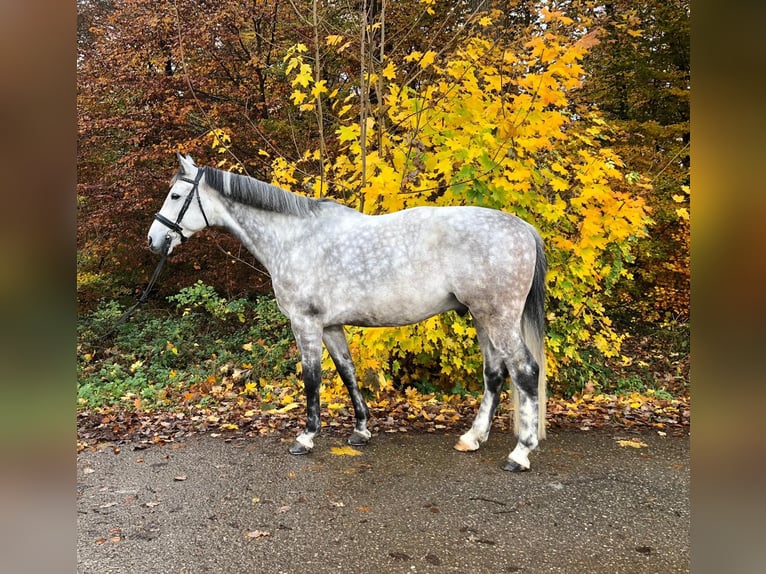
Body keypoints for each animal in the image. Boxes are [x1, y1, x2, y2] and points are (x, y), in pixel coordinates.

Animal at [147, 153, 547, 471]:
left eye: (176, 196)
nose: (153, 240)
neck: (294, 238)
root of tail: (523, 228)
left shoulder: (306, 323)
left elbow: (312, 379)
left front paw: (306, 437)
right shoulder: (331, 326)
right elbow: (347, 373)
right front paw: (361, 430)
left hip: (498, 319)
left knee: (525, 371)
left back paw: (520, 453)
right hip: (482, 318)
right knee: (494, 374)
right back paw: (473, 437)